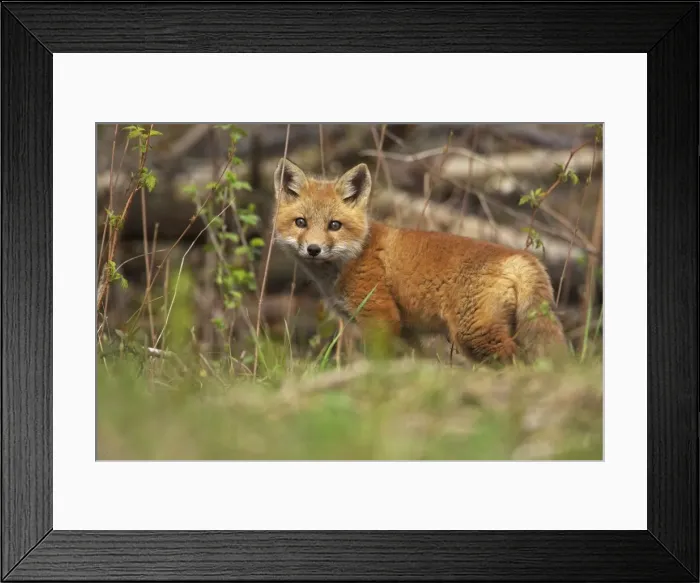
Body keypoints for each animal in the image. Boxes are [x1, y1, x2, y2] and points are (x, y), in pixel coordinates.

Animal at [271, 157, 569, 365]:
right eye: (301, 222)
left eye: (334, 225)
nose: (313, 249)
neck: (356, 254)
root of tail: (520, 256)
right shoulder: (406, 331)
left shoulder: (380, 315)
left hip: (474, 335)